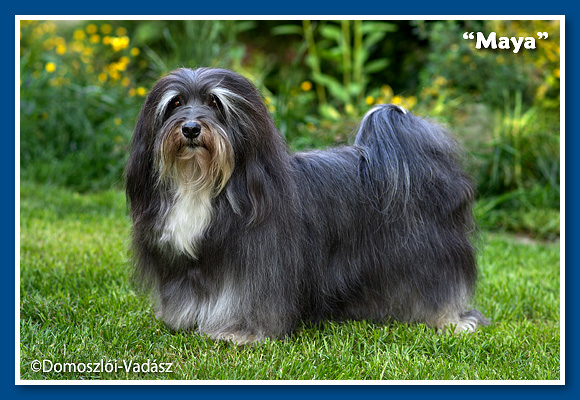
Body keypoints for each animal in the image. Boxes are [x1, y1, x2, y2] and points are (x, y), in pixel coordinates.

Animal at [127, 67, 490, 342]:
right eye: (175, 103)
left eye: (215, 102)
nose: (190, 128)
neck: (200, 183)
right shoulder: (181, 263)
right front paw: (185, 319)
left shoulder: (261, 264)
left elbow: (249, 299)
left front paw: (241, 332)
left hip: (427, 252)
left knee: (440, 284)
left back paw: (450, 320)